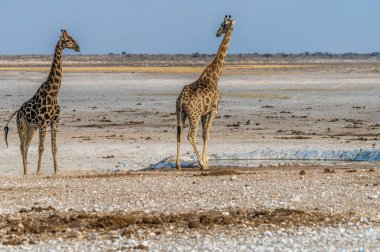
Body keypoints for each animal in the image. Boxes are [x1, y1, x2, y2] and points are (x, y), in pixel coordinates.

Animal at [3, 29, 80, 175]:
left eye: (73, 38)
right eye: (67, 40)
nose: (78, 48)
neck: (53, 94)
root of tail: (18, 111)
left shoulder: (55, 122)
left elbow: (54, 147)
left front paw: (56, 171)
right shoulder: (43, 123)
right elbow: (41, 147)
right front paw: (38, 171)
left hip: (31, 127)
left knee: (26, 145)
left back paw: (27, 171)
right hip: (22, 125)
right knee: (22, 146)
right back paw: (25, 172)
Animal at [177, 15, 236, 169]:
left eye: (223, 24)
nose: (217, 33)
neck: (215, 76)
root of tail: (181, 100)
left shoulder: (205, 112)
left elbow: (204, 134)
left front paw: (207, 160)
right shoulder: (214, 108)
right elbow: (208, 133)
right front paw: (206, 162)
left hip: (180, 113)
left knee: (179, 132)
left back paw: (178, 164)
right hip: (194, 115)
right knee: (191, 135)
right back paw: (201, 164)